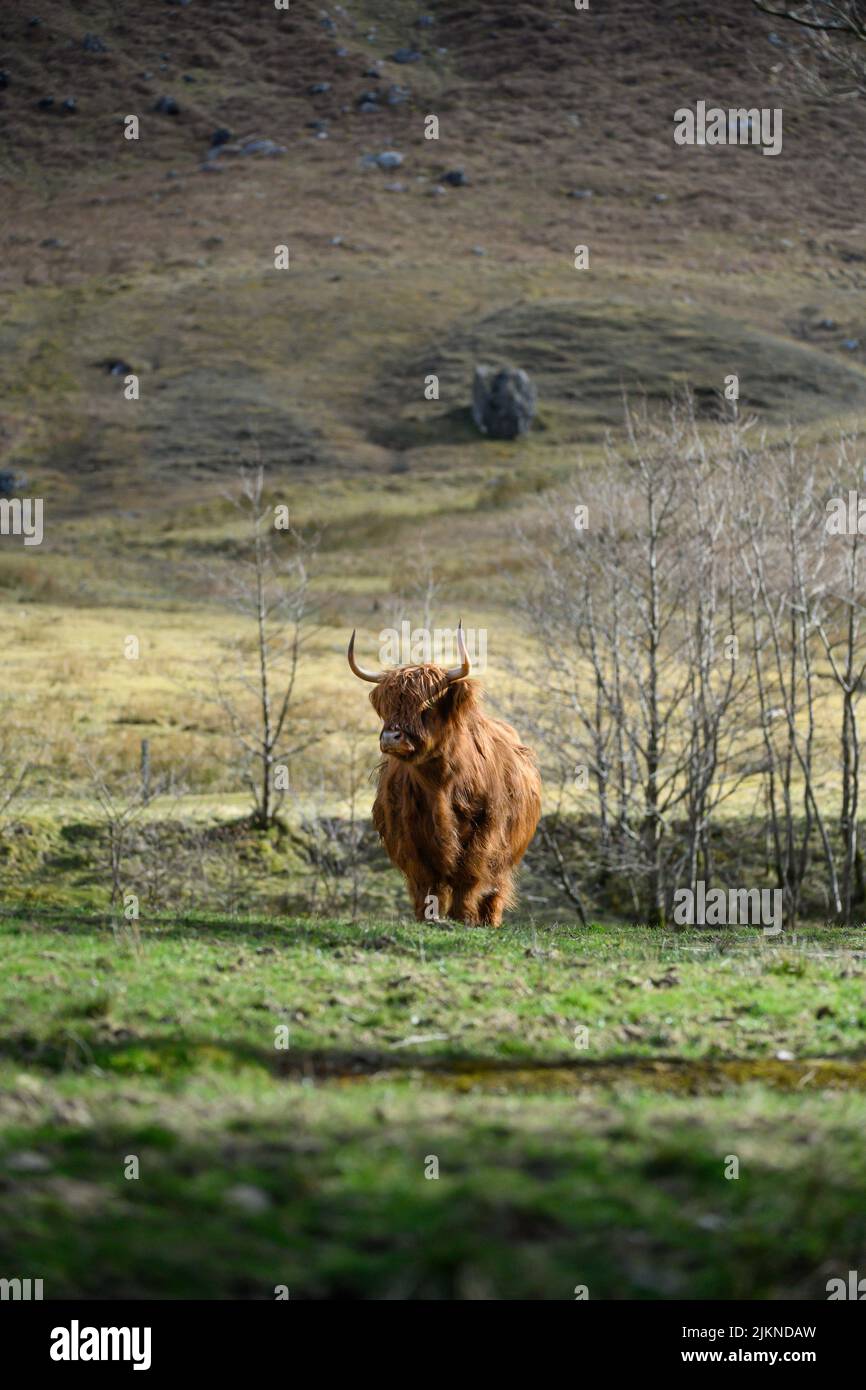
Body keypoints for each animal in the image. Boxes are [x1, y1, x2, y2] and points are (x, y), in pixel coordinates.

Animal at [347, 625, 542, 928]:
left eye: (427, 705)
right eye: (387, 706)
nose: (391, 737)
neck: (441, 784)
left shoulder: (487, 827)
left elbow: (469, 874)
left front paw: (463, 917)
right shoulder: (409, 833)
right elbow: (427, 881)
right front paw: (428, 917)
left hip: (507, 854)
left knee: (496, 887)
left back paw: (489, 921)